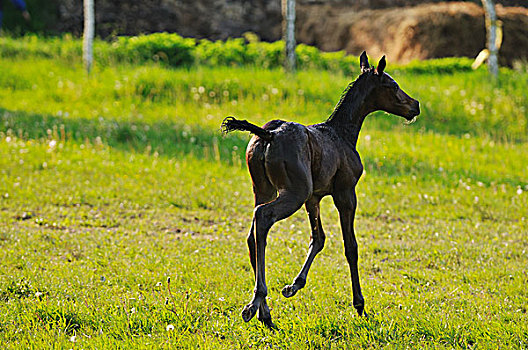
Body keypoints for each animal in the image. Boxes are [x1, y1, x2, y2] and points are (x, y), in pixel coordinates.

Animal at [223, 52, 420, 328]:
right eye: (392, 86)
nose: (415, 105)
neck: (344, 134)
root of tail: (268, 134)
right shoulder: (345, 193)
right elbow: (351, 246)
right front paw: (359, 305)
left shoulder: (314, 198)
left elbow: (318, 238)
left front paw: (293, 286)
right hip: (293, 192)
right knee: (263, 217)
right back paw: (255, 303)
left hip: (264, 189)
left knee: (253, 232)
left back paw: (265, 312)